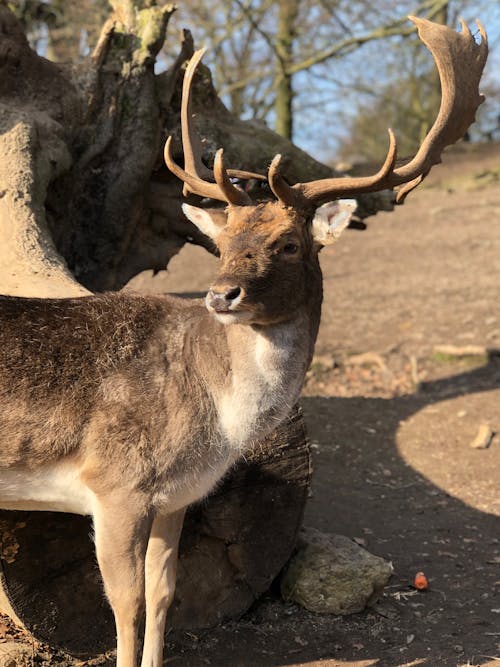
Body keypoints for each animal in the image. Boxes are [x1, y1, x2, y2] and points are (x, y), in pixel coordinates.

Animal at [0, 13, 486, 667]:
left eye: (289, 243)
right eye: (222, 243)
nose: (220, 294)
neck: (217, 427)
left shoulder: (176, 497)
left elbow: (162, 596)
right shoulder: (114, 484)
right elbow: (123, 606)